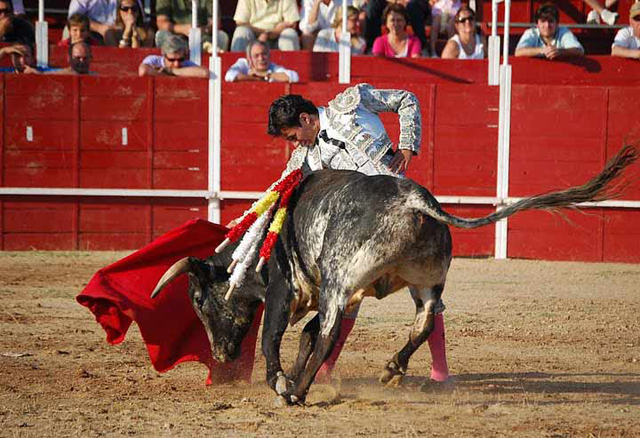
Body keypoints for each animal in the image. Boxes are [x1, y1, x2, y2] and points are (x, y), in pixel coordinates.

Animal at [150, 145, 636, 406]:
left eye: (197, 299)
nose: (222, 355)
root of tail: (414, 202)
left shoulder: (286, 290)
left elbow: (277, 337)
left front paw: (281, 382)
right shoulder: (337, 294)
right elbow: (304, 337)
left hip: (340, 280)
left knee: (330, 333)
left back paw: (301, 392)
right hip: (422, 280)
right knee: (425, 321)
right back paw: (391, 369)